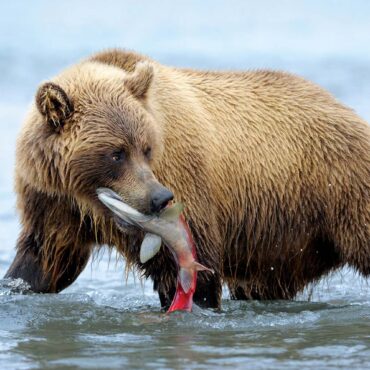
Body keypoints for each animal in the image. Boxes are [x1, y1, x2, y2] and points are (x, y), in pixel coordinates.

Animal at [3, 49, 370, 310]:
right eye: (116, 153)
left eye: (146, 148)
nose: (159, 198)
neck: (86, 195)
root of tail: (349, 112)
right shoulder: (53, 202)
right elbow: (45, 261)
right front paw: (18, 284)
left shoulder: (184, 181)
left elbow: (192, 269)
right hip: (283, 240)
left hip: (340, 190)